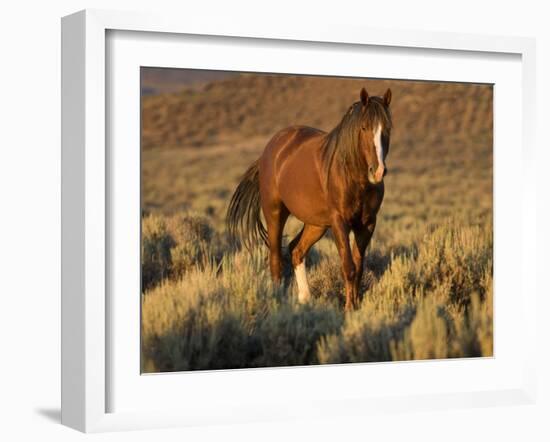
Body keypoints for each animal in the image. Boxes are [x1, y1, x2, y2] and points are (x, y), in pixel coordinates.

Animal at [227, 87, 392, 310]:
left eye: (387, 129)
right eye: (364, 127)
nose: (378, 171)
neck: (352, 176)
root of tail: (270, 148)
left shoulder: (367, 224)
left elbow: (358, 267)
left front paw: (356, 306)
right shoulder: (339, 223)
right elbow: (348, 266)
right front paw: (349, 308)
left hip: (316, 224)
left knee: (296, 250)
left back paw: (305, 299)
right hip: (275, 213)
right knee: (276, 259)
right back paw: (279, 300)